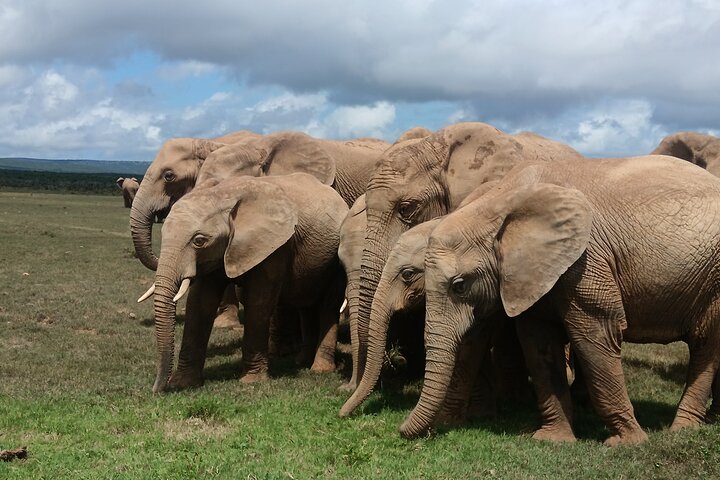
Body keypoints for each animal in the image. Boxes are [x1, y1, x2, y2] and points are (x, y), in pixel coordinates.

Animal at [142, 173, 348, 392]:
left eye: (199, 241)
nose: (157, 389)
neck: (224, 195)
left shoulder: (275, 247)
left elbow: (259, 303)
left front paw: (252, 381)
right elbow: (200, 303)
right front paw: (183, 383)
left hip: (336, 263)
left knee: (328, 307)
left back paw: (320, 369)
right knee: (306, 307)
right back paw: (302, 362)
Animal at [398, 154, 720, 446]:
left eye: (460, 286)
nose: (402, 431)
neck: (500, 200)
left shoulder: (585, 261)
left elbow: (597, 334)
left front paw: (627, 443)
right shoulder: (531, 275)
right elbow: (539, 343)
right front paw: (553, 440)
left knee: (705, 344)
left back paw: (682, 429)